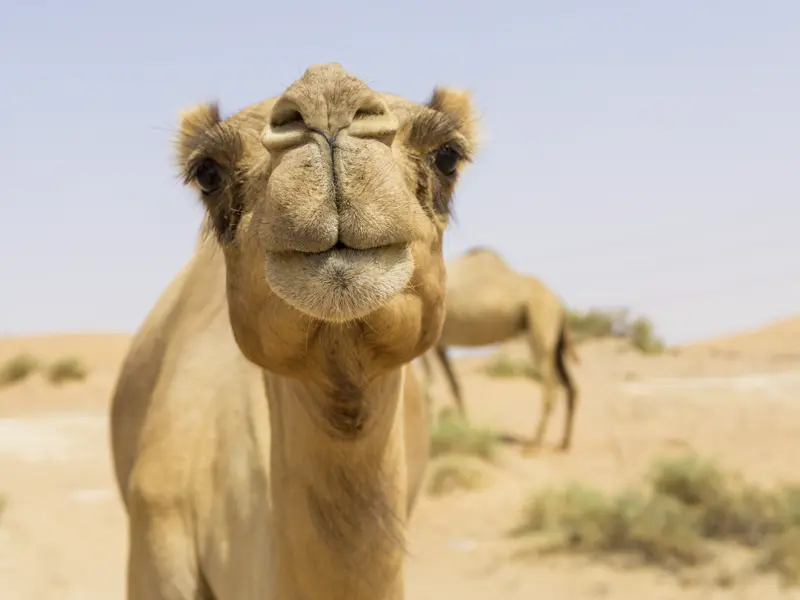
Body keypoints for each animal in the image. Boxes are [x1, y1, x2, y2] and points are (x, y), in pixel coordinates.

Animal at [418, 246, 580, 452]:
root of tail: (560, 306)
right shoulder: (440, 344)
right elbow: (454, 385)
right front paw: (464, 428)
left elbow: (428, 389)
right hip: (556, 343)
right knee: (571, 386)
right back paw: (564, 443)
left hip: (541, 322)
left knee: (549, 387)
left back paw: (533, 445)